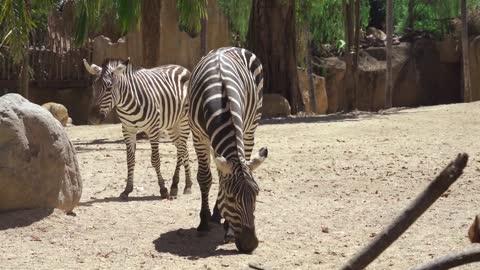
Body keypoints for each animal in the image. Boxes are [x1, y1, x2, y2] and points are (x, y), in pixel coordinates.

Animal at [83, 58, 192, 199]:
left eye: (109, 87)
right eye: (93, 87)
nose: (93, 118)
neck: (127, 103)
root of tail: (182, 67)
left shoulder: (153, 129)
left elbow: (155, 160)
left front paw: (163, 189)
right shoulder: (128, 130)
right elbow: (130, 160)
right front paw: (127, 189)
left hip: (183, 121)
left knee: (181, 150)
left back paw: (175, 186)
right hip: (172, 125)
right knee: (183, 149)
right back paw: (187, 185)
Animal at [188, 47, 270, 253]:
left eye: (257, 194)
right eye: (232, 199)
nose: (250, 245)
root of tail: (230, 47)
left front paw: (228, 229)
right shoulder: (198, 137)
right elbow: (205, 178)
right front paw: (204, 221)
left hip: (251, 126)